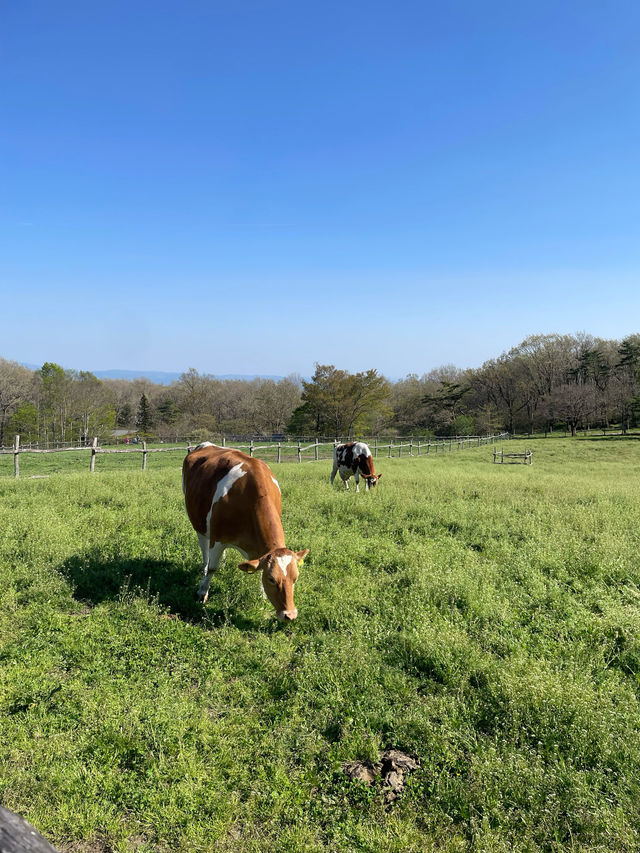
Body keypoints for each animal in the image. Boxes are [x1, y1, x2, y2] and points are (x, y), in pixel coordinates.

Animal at [181, 446, 308, 620]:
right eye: (272, 579)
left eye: (295, 578)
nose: (290, 615)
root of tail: (205, 445)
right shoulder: (218, 538)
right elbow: (213, 567)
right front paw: (202, 592)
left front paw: (262, 596)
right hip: (199, 523)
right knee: (205, 550)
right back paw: (205, 568)